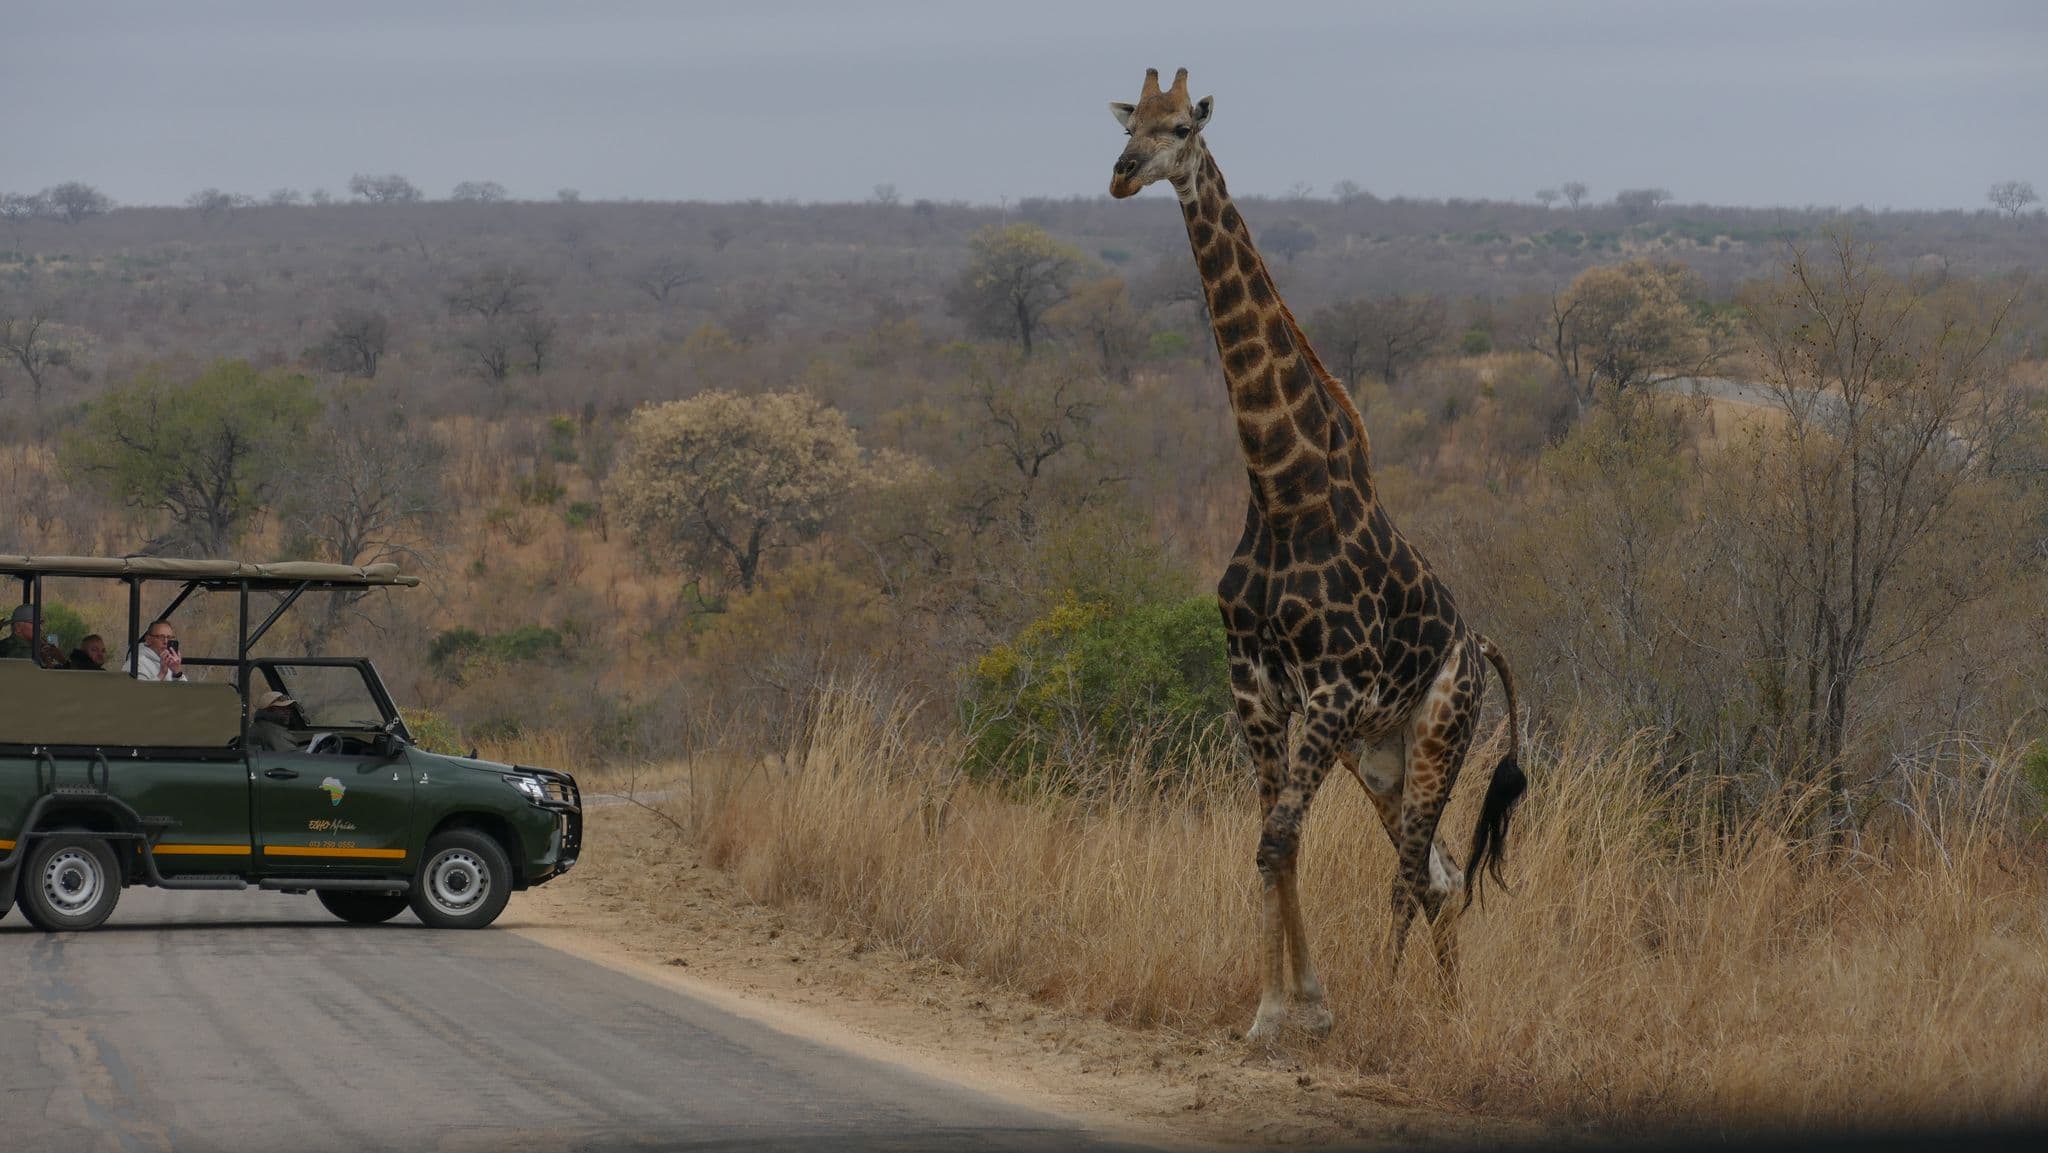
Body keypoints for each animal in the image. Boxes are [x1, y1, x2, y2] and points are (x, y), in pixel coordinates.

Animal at [1108, 68, 1527, 1040]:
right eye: (1125, 121)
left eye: (1180, 129)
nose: (1121, 174)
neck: (1282, 491)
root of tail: (1479, 646)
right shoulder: (1255, 680)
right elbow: (1272, 842)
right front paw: (1280, 1007)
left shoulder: (1330, 689)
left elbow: (1277, 839)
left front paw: (1309, 1009)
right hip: (1378, 754)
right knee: (1442, 872)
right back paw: (1446, 1010)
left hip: (1438, 735)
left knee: (1415, 872)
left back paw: (1392, 1001)